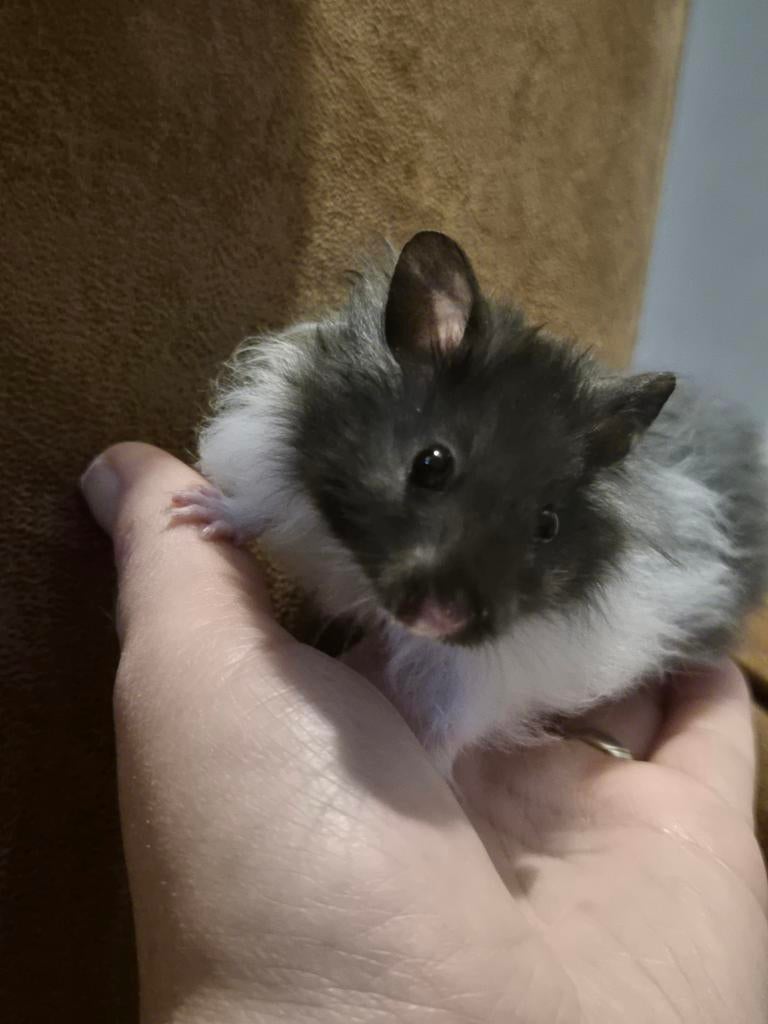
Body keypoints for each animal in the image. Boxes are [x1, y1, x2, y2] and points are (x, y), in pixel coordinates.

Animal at [173, 231, 768, 772]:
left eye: (548, 525)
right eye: (430, 464)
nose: (441, 617)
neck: (360, 570)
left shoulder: (493, 677)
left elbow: (452, 727)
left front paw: (426, 766)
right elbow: (256, 507)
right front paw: (190, 512)